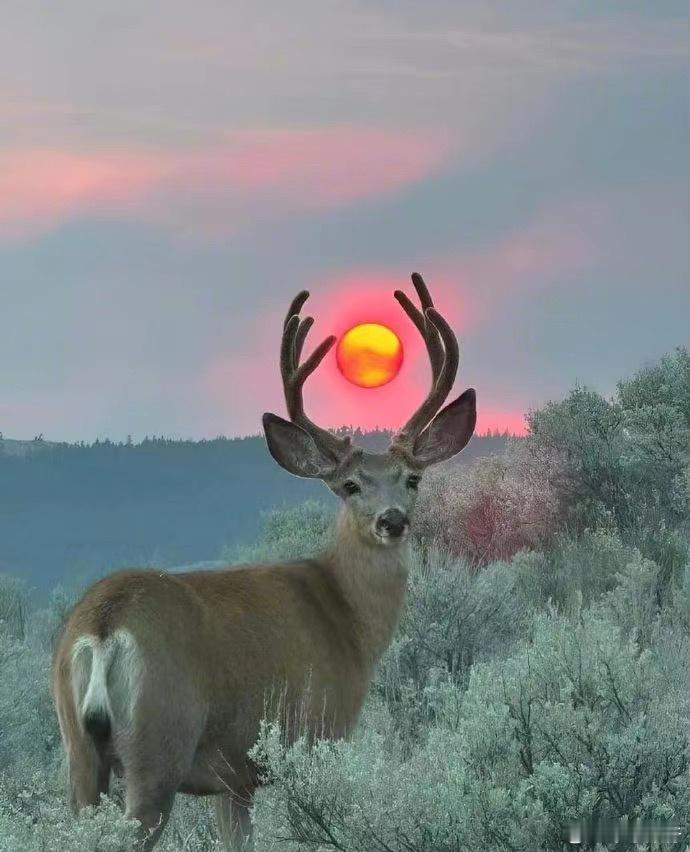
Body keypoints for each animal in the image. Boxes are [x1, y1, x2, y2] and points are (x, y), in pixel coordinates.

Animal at [52, 274, 472, 852]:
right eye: (349, 485)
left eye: (412, 479)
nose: (392, 520)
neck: (346, 618)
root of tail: (101, 626)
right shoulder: (316, 734)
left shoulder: (232, 779)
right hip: (157, 747)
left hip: (78, 752)